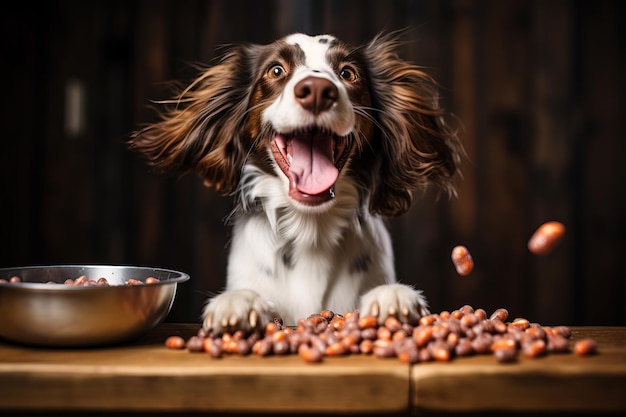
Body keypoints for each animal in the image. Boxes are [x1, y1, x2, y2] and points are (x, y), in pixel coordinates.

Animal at [129, 30, 460, 334]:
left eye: (347, 73)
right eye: (276, 70)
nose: (317, 90)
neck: (310, 229)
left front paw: (392, 298)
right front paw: (238, 303)